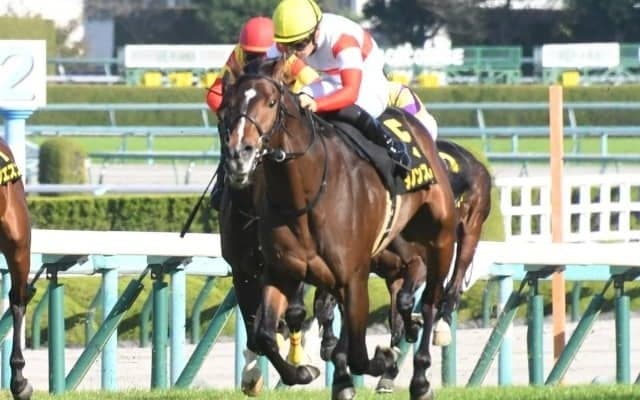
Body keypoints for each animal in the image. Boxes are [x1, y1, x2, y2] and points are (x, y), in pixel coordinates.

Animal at [220, 57, 457, 400]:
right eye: (227, 105)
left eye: (271, 102)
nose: (240, 155)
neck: (305, 195)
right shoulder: (280, 271)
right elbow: (264, 334)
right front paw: (302, 371)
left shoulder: (353, 276)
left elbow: (359, 352)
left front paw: (380, 360)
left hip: (441, 240)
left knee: (429, 304)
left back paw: (421, 379)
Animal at [313, 139, 493, 392]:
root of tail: (476, 162)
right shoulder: (371, 271)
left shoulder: (418, 265)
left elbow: (406, 303)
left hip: (470, 229)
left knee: (454, 285)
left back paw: (441, 325)